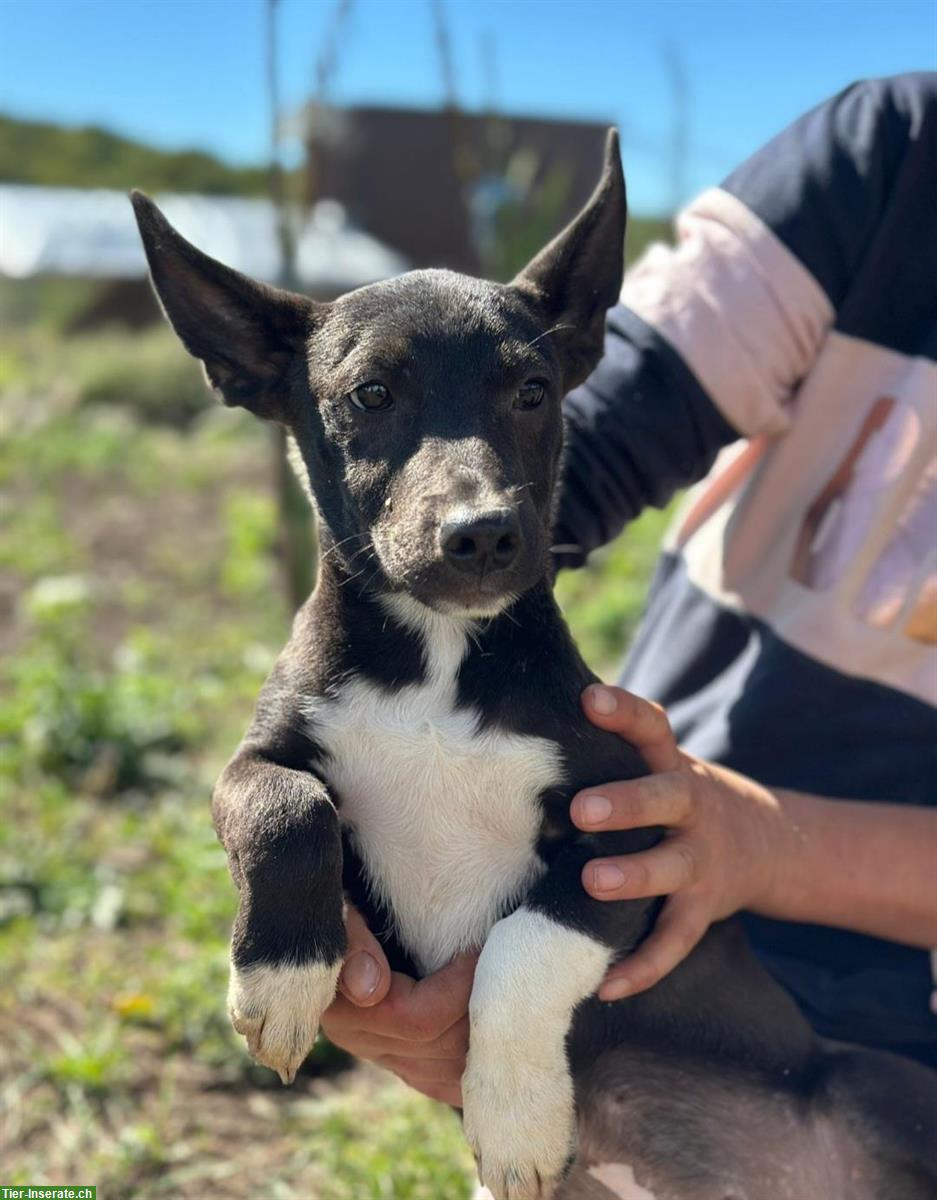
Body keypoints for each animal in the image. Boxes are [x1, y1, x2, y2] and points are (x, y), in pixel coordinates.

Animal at [133, 140, 935, 1200]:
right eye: (370, 395)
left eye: (532, 392)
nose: (481, 535)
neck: (435, 662)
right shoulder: (265, 751)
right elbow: (280, 802)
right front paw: (281, 976)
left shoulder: (636, 834)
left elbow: (523, 943)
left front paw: (514, 1116)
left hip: (878, 1092)